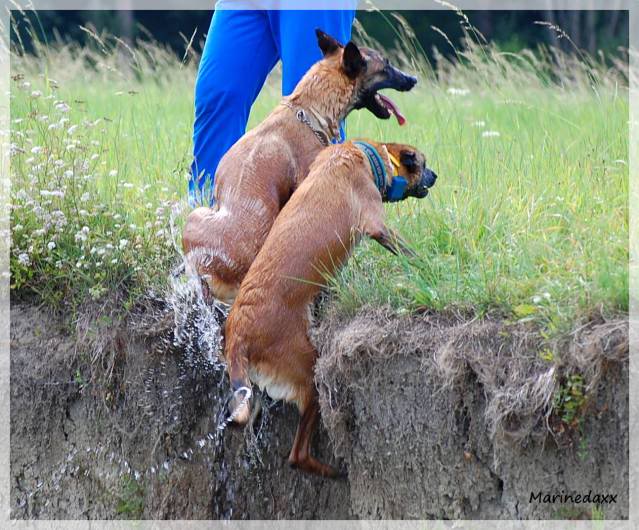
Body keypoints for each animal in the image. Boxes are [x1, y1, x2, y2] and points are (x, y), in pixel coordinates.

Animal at [222, 137, 438, 474]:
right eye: (424, 164)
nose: (436, 175)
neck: (367, 155)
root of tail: (238, 334)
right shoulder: (378, 225)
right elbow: (410, 254)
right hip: (309, 376)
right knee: (297, 455)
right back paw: (333, 471)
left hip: (255, 396)